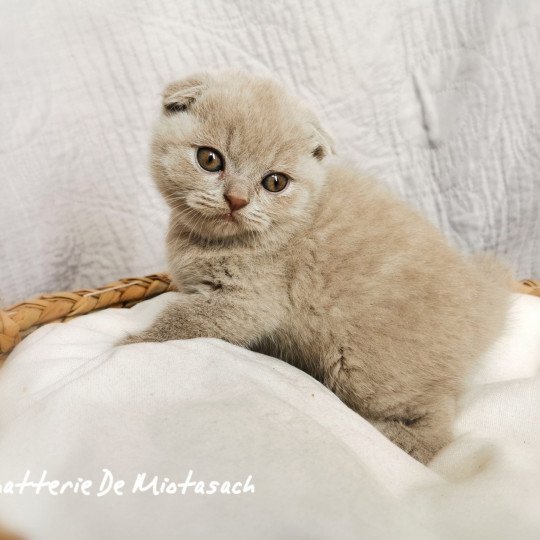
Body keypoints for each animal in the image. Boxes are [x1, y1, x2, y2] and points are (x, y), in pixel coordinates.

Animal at [123, 69, 510, 462]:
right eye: (210, 159)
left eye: (274, 182)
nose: (236, 199)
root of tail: (482, 300)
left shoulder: (247, 301)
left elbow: (182, 321)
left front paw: (131, 343)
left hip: (364, 369)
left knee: (439, 422)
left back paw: (394, 439)